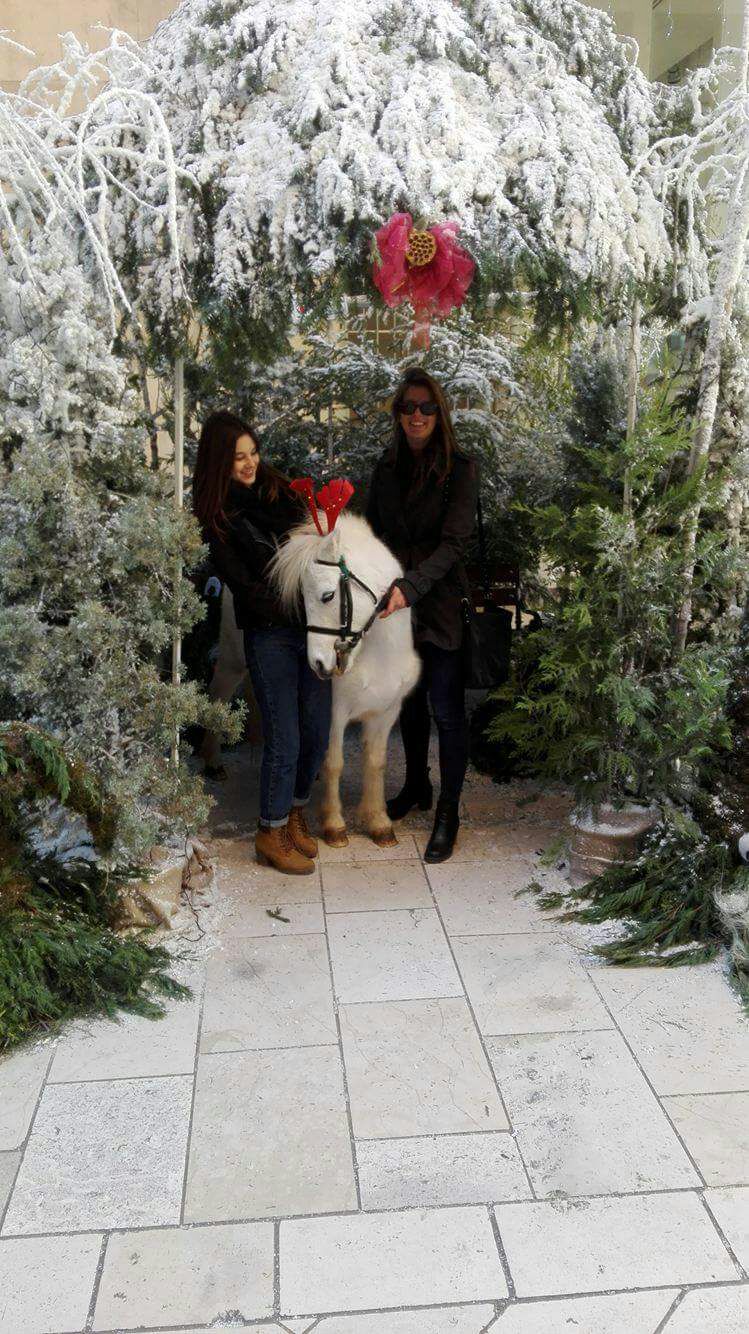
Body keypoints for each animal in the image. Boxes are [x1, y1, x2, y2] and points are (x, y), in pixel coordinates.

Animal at [270, 512, 421, 847]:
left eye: (327, 595)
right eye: (301, 599)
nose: (318, 663)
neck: (378, 656)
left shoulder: (386, 713)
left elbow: (376, 762)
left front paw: (378, 822)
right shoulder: (334, 715)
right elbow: (334, 762)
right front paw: (334, 825)